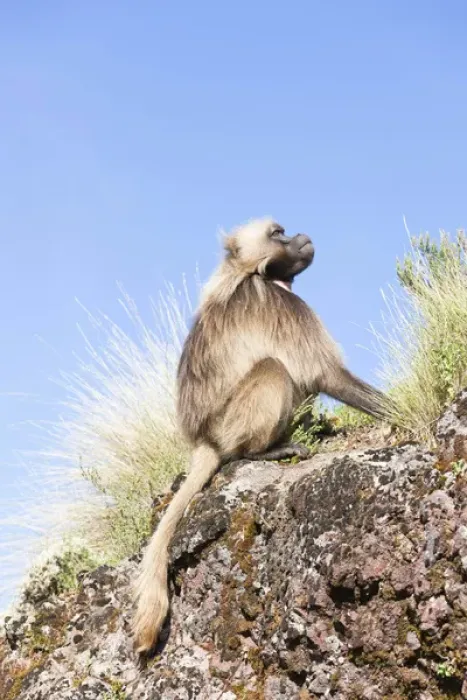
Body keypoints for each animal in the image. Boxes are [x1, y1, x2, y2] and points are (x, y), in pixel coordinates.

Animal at [132, 217, 389, 653]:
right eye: (278, 233)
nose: (303, 236)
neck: (249, 273)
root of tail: (205, 440)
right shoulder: (279, 303)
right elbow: (325, 373)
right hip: (232, 423)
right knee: (273, 369)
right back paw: (264, 452)